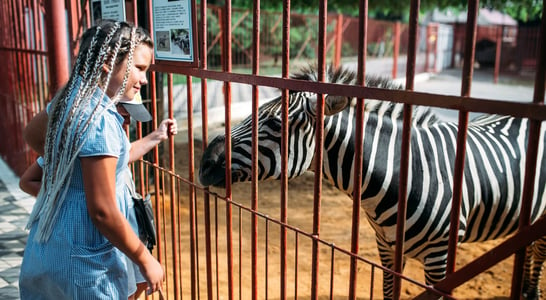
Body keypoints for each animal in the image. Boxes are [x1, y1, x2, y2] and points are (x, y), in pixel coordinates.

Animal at [198, 64, 544, 298]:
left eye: (274, 123)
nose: (204, 163)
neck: (403, 175)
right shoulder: (387, 247)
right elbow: (389, 292)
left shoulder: (440, 259)